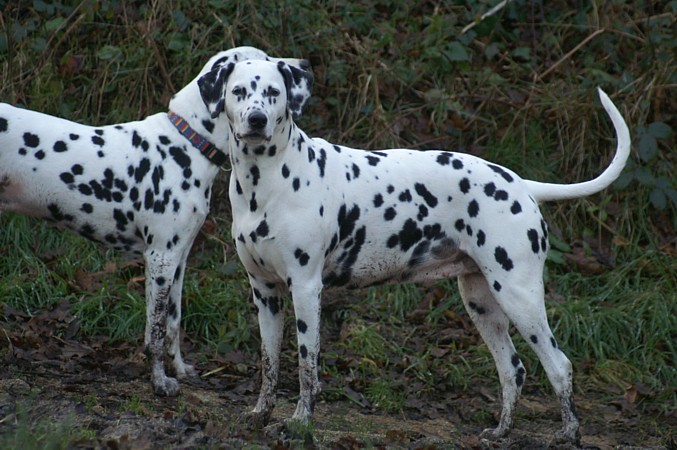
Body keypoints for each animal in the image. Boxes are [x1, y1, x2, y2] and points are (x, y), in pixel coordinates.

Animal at [0, 46, 310, 398]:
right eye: (260, 66)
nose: (303, 65)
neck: (186, 143)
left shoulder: (178, 259)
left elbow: (173, 323)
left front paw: (179, 369)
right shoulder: (160, 258)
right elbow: (156, 332)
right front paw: (159, 382)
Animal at [203, 59, 632, 442]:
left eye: (273, 93)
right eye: (238, 92)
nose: (257, 120)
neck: (266, 181)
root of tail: (519, 182)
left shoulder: (306, 290)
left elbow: (307, 366)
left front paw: (299, 424)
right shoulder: (265, 293)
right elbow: (269, 363)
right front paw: (261, 413)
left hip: (519, 298)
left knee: (559, 366)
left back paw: (569, 433)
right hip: (482, 304)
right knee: (513, 369)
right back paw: (502, 431)